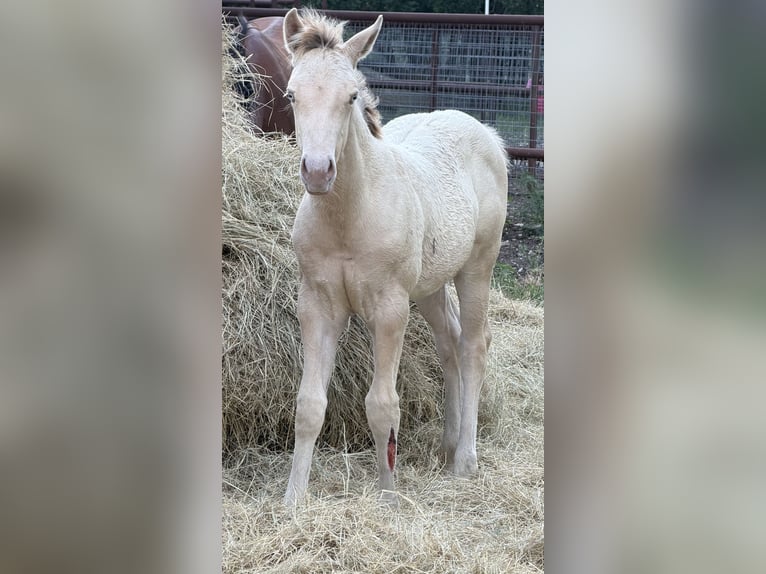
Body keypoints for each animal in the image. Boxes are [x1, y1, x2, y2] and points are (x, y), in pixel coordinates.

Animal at [281, 8, 508, 506]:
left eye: (351, 96)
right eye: (291, 94)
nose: (318, 171)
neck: (349, 216)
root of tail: (487, 133)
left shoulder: (389, 308)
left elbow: (382, 405)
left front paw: (387, 500)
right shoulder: (317, 304)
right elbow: (309, 405)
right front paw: (292, 500)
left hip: (477, 266)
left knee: (473, 345)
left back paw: (465, 461)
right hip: (429, 284)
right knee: (449, 342)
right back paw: (447, 443)